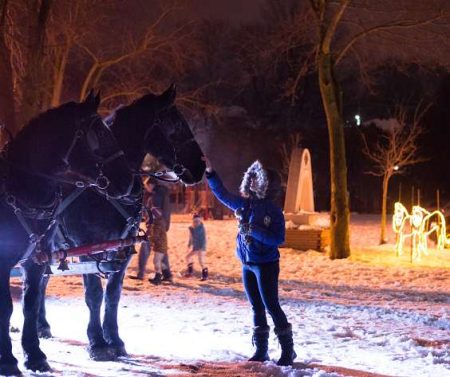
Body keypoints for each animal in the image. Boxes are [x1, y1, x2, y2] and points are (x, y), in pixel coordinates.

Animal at [0, 92, 134, 374]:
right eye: (99, 133)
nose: (129, 181)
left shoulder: (35, 262)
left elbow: (30, 304)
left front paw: (34, 355)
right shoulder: (2, 263)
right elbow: (6, 308)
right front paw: (7, 360)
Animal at [37, 84, 206, 362]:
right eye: (177, 124)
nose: (201, 166)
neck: (106, 189)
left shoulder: (123, 248)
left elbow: (113, 295)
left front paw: (114, 340)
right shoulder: (88, 248)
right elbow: (94, 295)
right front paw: (97, 343)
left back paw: (41, 325)